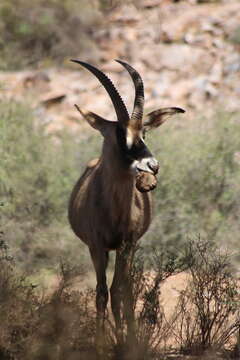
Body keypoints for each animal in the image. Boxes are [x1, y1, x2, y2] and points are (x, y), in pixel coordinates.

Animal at [68, 60, 185, 348]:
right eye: (120, 134)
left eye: (144, 133)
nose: (152, 166)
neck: (112, 210)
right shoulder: (97, 246)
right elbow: (101, 292)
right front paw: (100, 345)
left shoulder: (126, 244)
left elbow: (121, 292)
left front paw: (125, 340)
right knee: (111, 289)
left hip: (128, 249)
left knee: (125, 288)